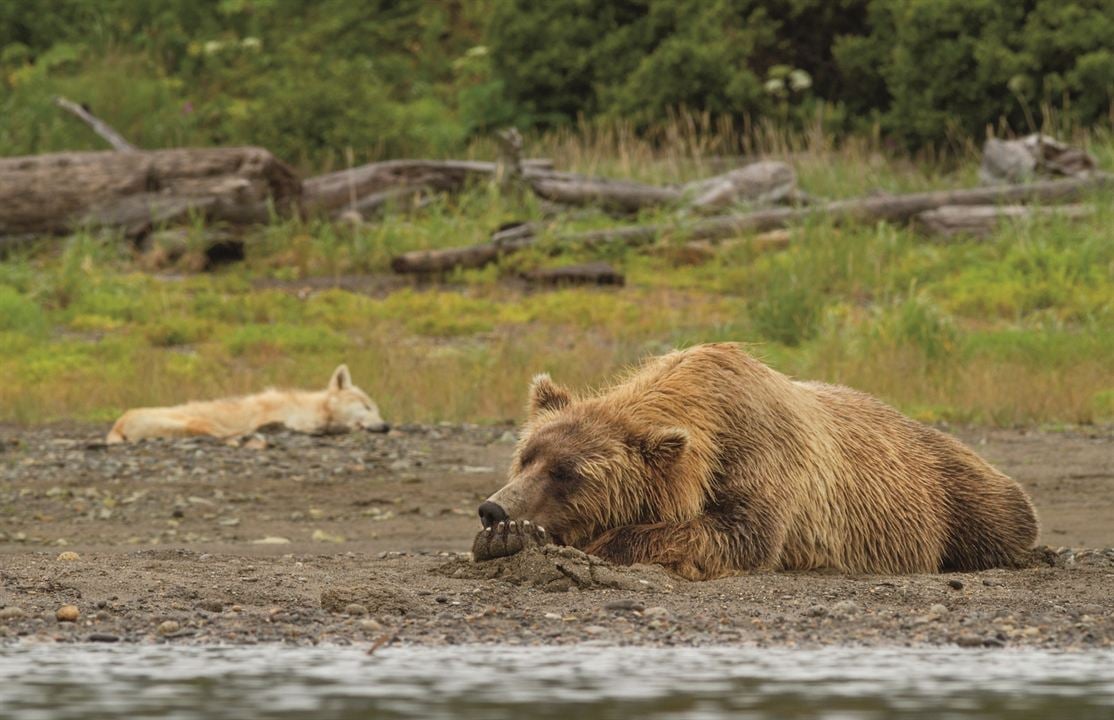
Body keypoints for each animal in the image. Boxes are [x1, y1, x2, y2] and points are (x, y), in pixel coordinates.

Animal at [479, 341, 1042, 584]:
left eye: (567, 474)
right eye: (526, 458)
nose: (494, 509)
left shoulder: (762, 455)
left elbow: (738, 534)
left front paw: (591, 545)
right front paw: (504, 539)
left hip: (950, 490)